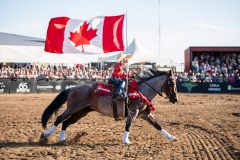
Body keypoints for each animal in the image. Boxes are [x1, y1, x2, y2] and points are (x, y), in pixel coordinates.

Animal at [40, 69, 177, 144]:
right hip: (73, 108)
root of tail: (72, 88)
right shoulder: (133, 112)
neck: (141, 91)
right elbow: (128, 125)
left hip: (82, 112)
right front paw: (125, 141)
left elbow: (157, 125)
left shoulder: (145, 114)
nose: (175, 99)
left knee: (66, 123)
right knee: (59, 119)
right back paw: (45, 135)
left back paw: (62, 139)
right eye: (171, 83)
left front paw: (172, 137)